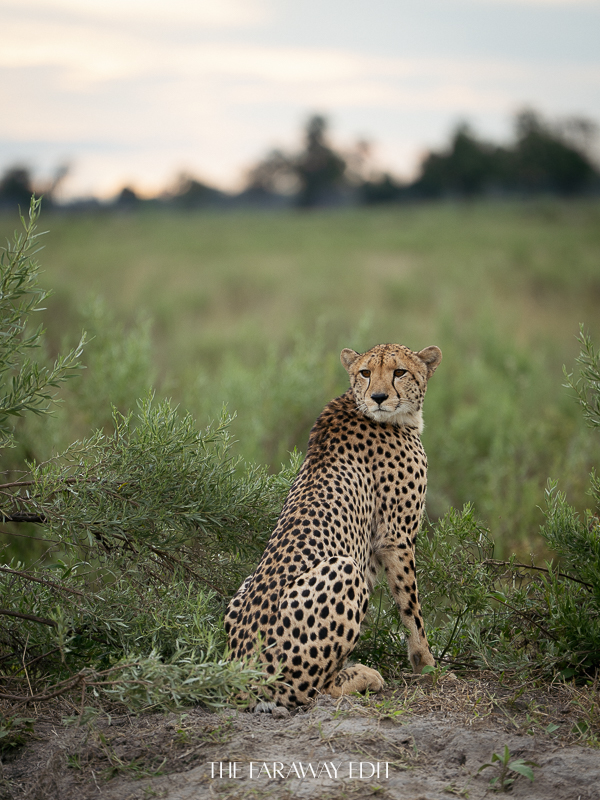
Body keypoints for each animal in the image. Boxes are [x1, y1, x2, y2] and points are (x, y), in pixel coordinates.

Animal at [225, 342, 442, 710]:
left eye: (399, 371)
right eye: (365, 372)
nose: (379, 397)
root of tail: (241, 674)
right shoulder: (396, 538)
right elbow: (412, 609)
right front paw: (428, 667)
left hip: (241, 592)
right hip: (344, 567)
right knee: (310, 689)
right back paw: (363, 675)